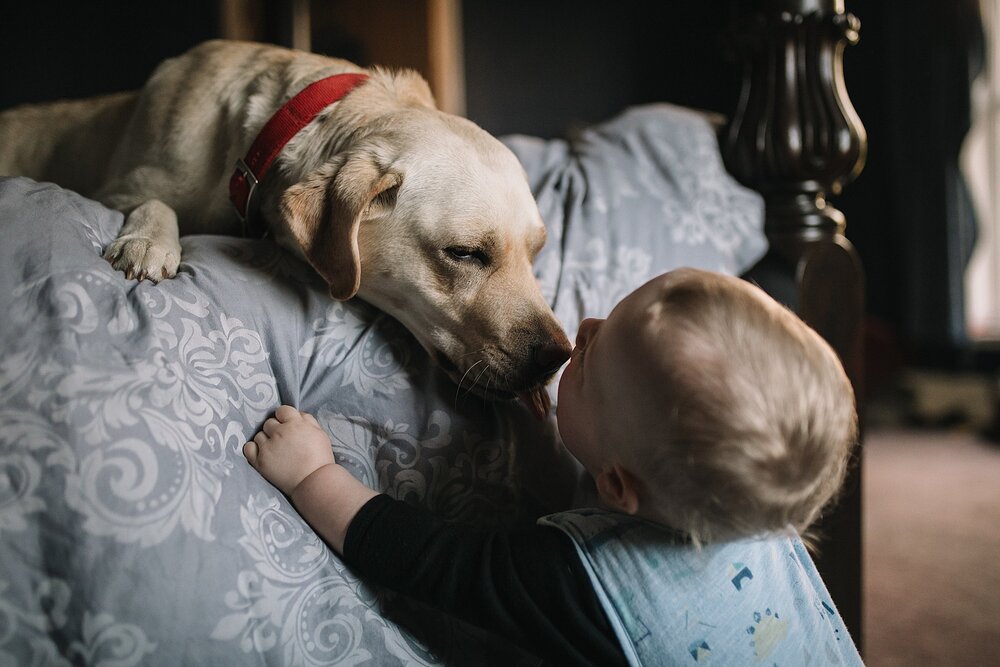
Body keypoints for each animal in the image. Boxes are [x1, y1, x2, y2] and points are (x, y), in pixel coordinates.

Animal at [1, 40, 572, 402]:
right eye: (465, 253)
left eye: (536, 253)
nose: (558, 357)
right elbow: (157, 203)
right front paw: (148, 243)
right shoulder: (117, 188)